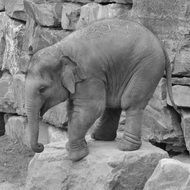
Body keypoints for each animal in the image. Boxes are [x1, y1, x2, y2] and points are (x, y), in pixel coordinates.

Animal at [24, 18, 177, 160]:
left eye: (42, 89)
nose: (41, 146)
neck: (59, 49)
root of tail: (160, 44)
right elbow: (73, 109)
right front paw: (76, 148)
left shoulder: (90, 76)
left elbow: (90, 108)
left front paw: (76, 156)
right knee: (114, 104)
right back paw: (100, 138)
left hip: (147, 67)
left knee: (130, 102)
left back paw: (125, 147)